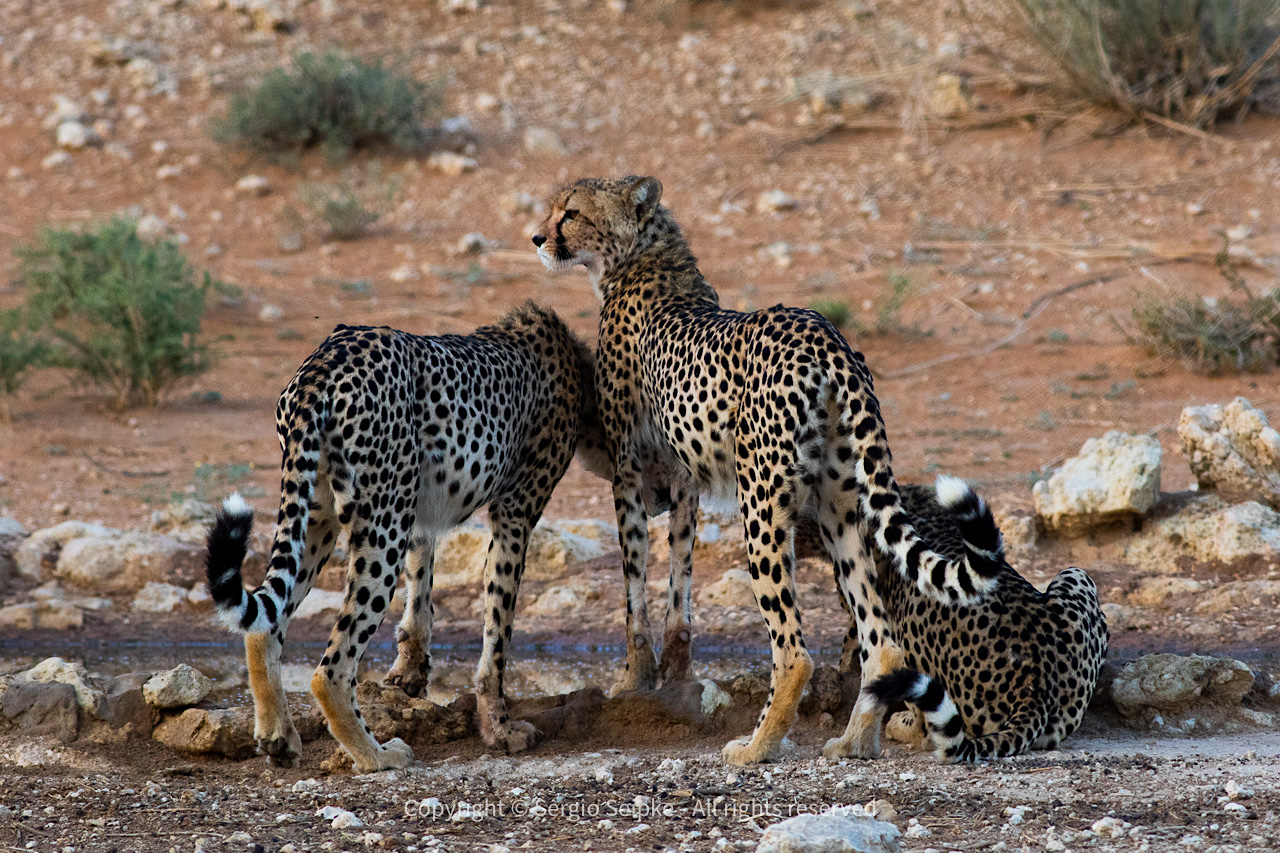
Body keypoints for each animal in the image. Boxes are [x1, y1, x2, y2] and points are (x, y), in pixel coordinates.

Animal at [207, 303, 591, 768]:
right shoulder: (515, 511)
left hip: (322, 512)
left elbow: (421, 586)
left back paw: (278, 737)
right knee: (331, 669)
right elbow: (498, 626)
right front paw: (500, 729)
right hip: (381, 521)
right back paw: (377, 756)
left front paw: (411, 671)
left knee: (267, 621)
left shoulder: (421, 509)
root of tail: (324, 359)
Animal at [535, 174, 1003, 763]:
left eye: (570, 213)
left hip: (760, 501)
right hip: (839, 507)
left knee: (794, 650)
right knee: (882, 641)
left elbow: (634, 586)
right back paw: (854, 741)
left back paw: (756, 747)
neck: (644, 257)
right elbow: (678, 579)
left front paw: (633, 680)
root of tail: (825, 333)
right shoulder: (683, 479)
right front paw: (670, 672)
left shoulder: (629, 471)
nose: (537, 238)